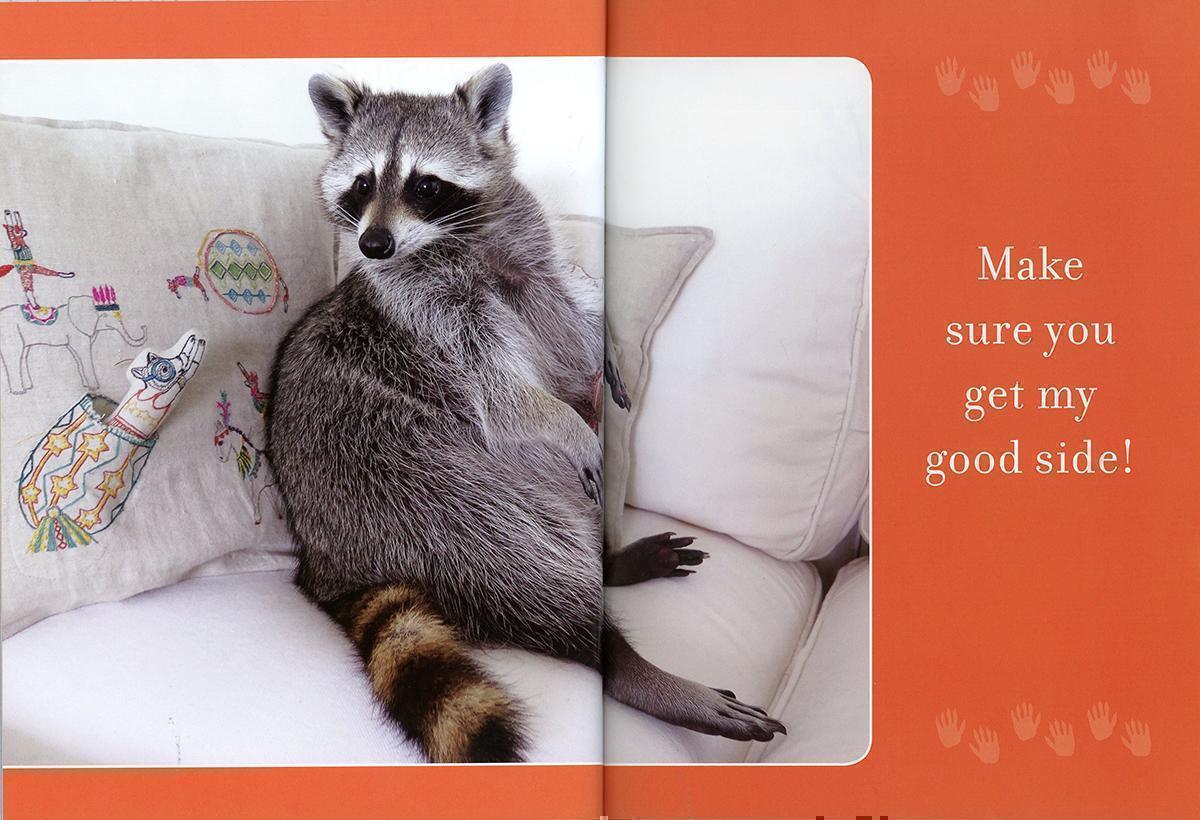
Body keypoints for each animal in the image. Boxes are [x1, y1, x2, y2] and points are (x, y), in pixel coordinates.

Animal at [267, 64, 785, 763]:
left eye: (424, 185)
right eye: (363, 183)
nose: (373, 243)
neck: (463, 242)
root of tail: (327, 567)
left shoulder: (532, 263)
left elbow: (577, 303)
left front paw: (604, 348)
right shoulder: (434, 321)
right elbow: (508, 401)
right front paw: (566, 424)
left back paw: (610, 563)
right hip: (404, 485)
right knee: (522, 556)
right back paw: (630, 666)